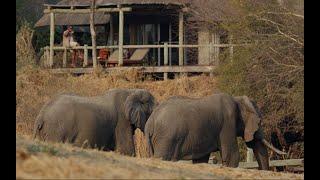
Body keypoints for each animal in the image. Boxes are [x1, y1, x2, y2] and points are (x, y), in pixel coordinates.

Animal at [145, 93, 284, 169]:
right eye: (259, 122)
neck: (237, 99)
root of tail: (150, 122)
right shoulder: (227, 123)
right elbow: (232, 156)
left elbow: (200, 160)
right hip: (166, 138)